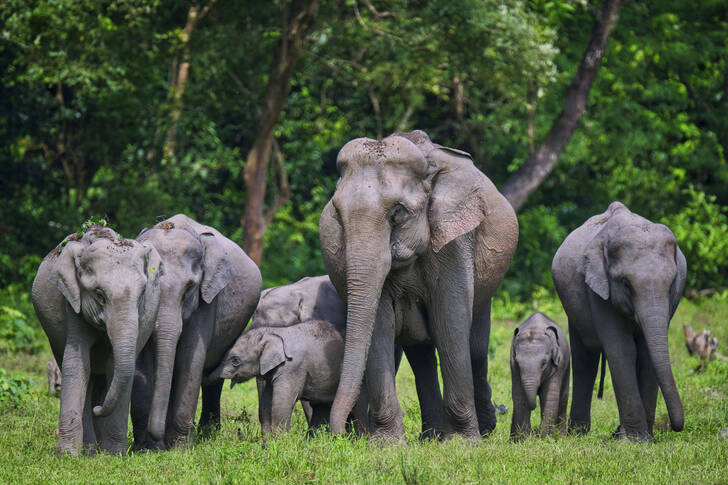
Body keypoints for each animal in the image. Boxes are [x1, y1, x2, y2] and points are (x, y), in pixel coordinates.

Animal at [31, 225, 163, 455]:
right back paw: (90, 450)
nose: (98, 409)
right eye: (99, 294)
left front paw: (114, 454)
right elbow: (76, 364)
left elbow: (116, 367)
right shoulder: (72, 304)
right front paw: (67, 456)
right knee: (85, 376)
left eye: (142, 295)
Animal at [131, 214, 262, 449]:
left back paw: (208, 433)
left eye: (189, 288)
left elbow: (190, 359)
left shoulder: (207, 301)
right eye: (146, 286)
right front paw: (145, 448)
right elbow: (141, 364)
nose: (158, 441)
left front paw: (178, 449)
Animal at [208, 320, 365, 435]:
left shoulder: (292, 367)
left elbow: (282, 403)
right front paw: (268, 445)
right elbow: (266, 402)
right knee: (320, 408)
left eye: (235, 360)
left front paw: (281, 443)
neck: (274, 332)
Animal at [318, 130, 519, 440]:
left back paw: (481, 431)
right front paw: (388, 444)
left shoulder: (455, 240)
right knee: (420, 354)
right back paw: (431, 437)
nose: (341, 434)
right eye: (337, 214)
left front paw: (462, 443)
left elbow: (450, 322)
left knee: (475, 346)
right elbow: (380, 325)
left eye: (397, 213)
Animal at [552, 201, 686, 441]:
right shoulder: (596, 288)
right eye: (625, 284)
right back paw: (578, 434)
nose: (676, 426)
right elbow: (622, 350)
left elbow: (646, 353)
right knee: (585, 357)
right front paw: (634, 440)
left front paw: (643, 439)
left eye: (671, 284)